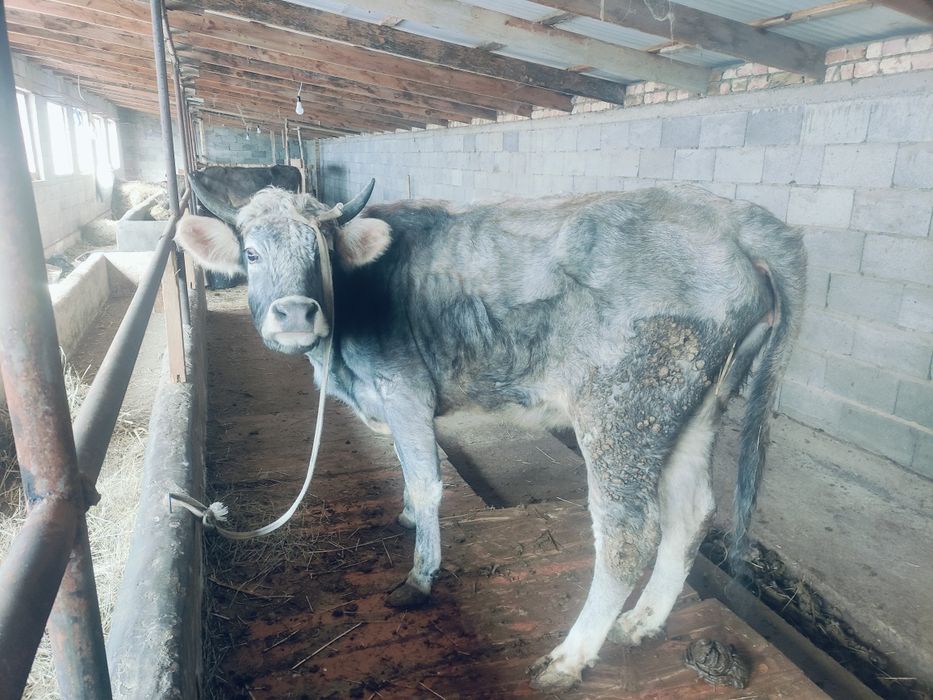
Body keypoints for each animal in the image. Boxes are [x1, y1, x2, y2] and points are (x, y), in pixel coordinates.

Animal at [176, 181, 805, 691]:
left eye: (322, 253)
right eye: (251, 252)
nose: (295, 314)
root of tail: (731, 214)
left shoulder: (404, 390)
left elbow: (427, 482)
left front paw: (420, 575)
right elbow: (405, 468)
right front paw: (407, 517)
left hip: (622, 412)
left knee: (629, 534)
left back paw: (568, 659)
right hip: (694, 411)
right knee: (692, 512)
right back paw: (643, 622)